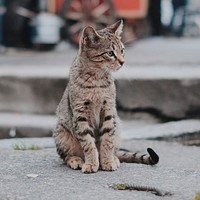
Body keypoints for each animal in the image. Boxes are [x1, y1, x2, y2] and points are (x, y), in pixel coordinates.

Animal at [53, 20, 159, 173]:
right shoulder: (80, 114)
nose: (123, 62)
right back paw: (76, 160)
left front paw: (107, 161)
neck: (96, 80)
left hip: (118, 125)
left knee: (115, 148)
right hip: (61, 133)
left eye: (122, 50)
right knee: (65, 156)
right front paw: (91, 163)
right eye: (110, 53)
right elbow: (88, 143)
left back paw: (114, 158)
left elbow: (107, 140)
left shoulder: (108, 110)